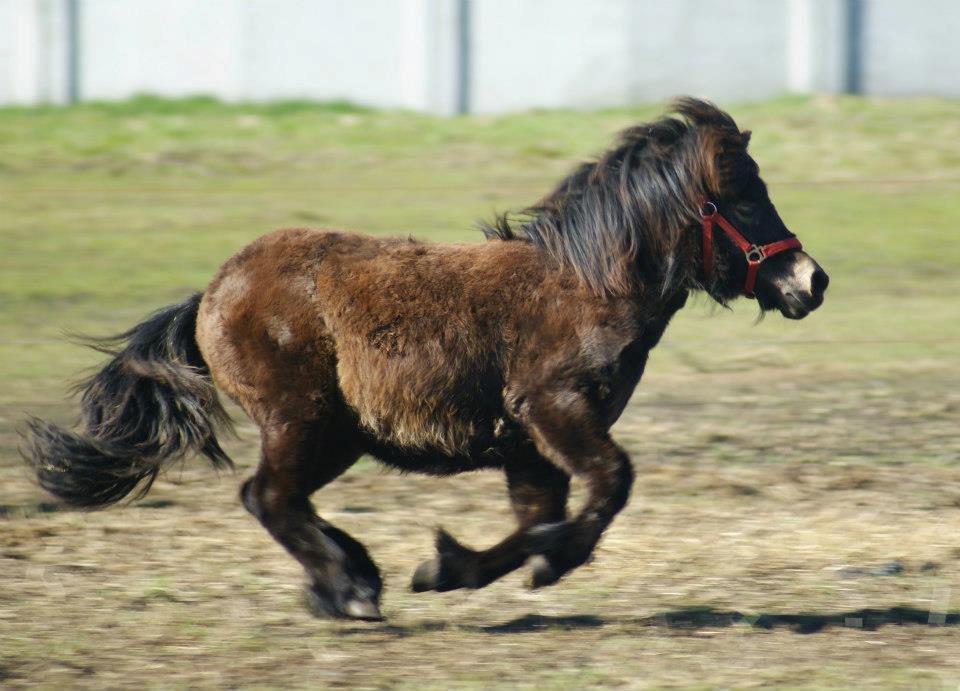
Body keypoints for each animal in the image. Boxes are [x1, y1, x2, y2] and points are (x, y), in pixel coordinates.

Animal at [26, 97, 828, 620]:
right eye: (745, 198)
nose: (811, 280)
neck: (585, 284)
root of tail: (211, 294)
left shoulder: (527, 444)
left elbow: (537, 516)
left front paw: (451, 567)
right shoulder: (554, 409)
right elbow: (609, 482)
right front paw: (548, 561)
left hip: (333, 435)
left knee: (284, 500)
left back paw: (350, 576)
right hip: (300, 421)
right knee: (269, 496)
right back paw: (350, 590)